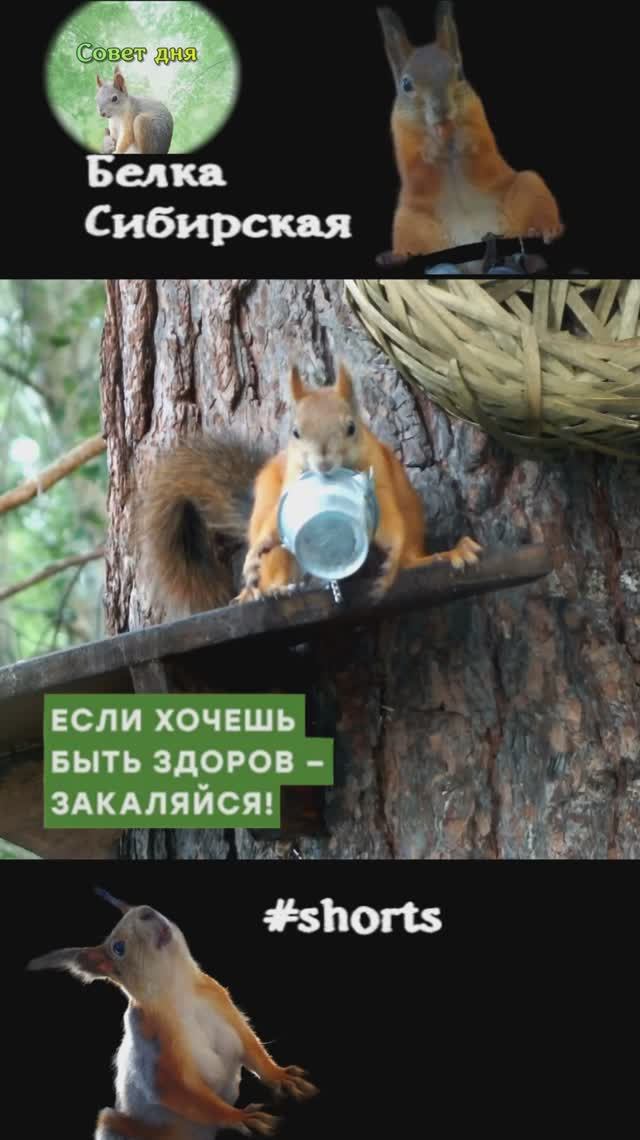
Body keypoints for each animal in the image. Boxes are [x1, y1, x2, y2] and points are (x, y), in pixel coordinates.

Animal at [27, 888, 318, 1140]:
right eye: (118, 948)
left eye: (139, 906)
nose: (146, 912)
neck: (178, 988)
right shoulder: (151, 1042)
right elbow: (179, 1090)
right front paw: (239, 1117)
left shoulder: (223, 1004)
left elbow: (251, 1048)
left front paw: (282, 1077)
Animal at [136, 362, 481, 617]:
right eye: (295, 431)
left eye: (351, 428)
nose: (323, 463)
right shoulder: (290, 486)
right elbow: (272, 527)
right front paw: (256, 554)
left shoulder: (378, 477)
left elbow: (389, 523)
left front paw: (392, 559)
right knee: (272, 561)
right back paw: (263, 589)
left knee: (412, 557)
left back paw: (446, 554)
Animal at [378, 4, 564, 266]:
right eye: (406, 84)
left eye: (459, 74)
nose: (442, 110)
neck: (447, 140)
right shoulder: (403, 139)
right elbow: (416, 167)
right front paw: (431, 147)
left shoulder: (481, 126)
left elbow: (482, 148)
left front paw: (463, 137)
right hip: (409, 222)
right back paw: (396, 257)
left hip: (529, 188)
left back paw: (544, 230)